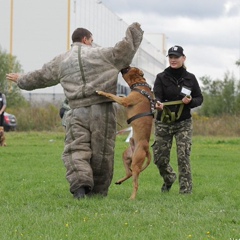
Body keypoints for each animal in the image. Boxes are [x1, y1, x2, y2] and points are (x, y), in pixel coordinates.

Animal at [97, 65, 155, 199]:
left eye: (131, 68)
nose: (126, 66)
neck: (140, 84)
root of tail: (146, 149)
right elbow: (118, 96)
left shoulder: (125, 101)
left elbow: (112, 95)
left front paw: (101, 92)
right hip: (126, 156)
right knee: (129, 173)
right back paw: (119, 181)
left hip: (136, 162)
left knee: (135, 182)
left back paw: (132, 197)